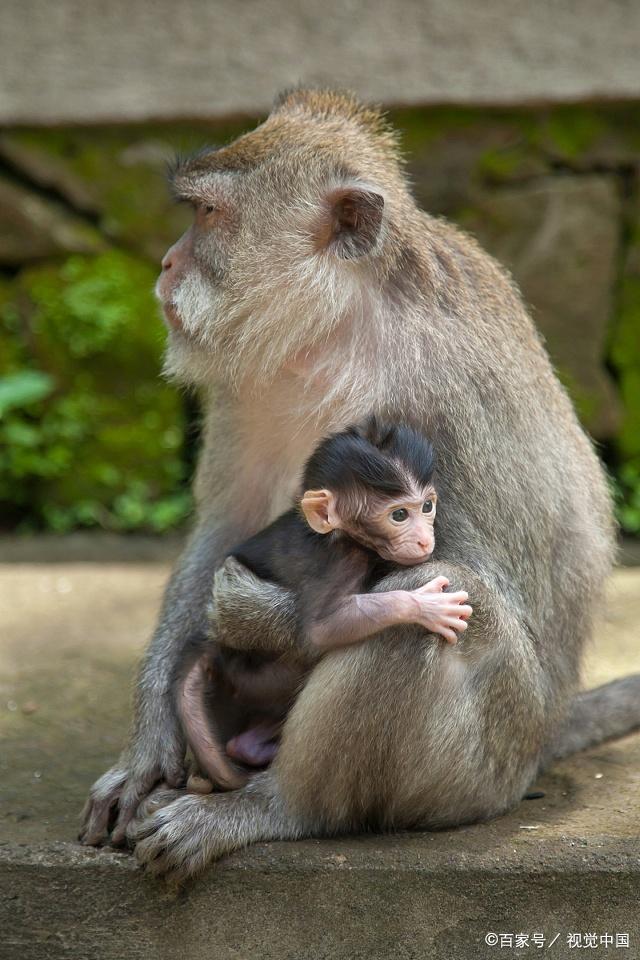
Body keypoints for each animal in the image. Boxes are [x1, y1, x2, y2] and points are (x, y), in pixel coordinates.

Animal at [179, 420, 470, 788]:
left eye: (427, 507)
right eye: (400, 515)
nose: (423, 539)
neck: (339, 535)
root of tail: (218, 647)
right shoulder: (339, 559)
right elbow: (322, 628)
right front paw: (425, 606)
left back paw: (253, 746)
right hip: (261, 676)